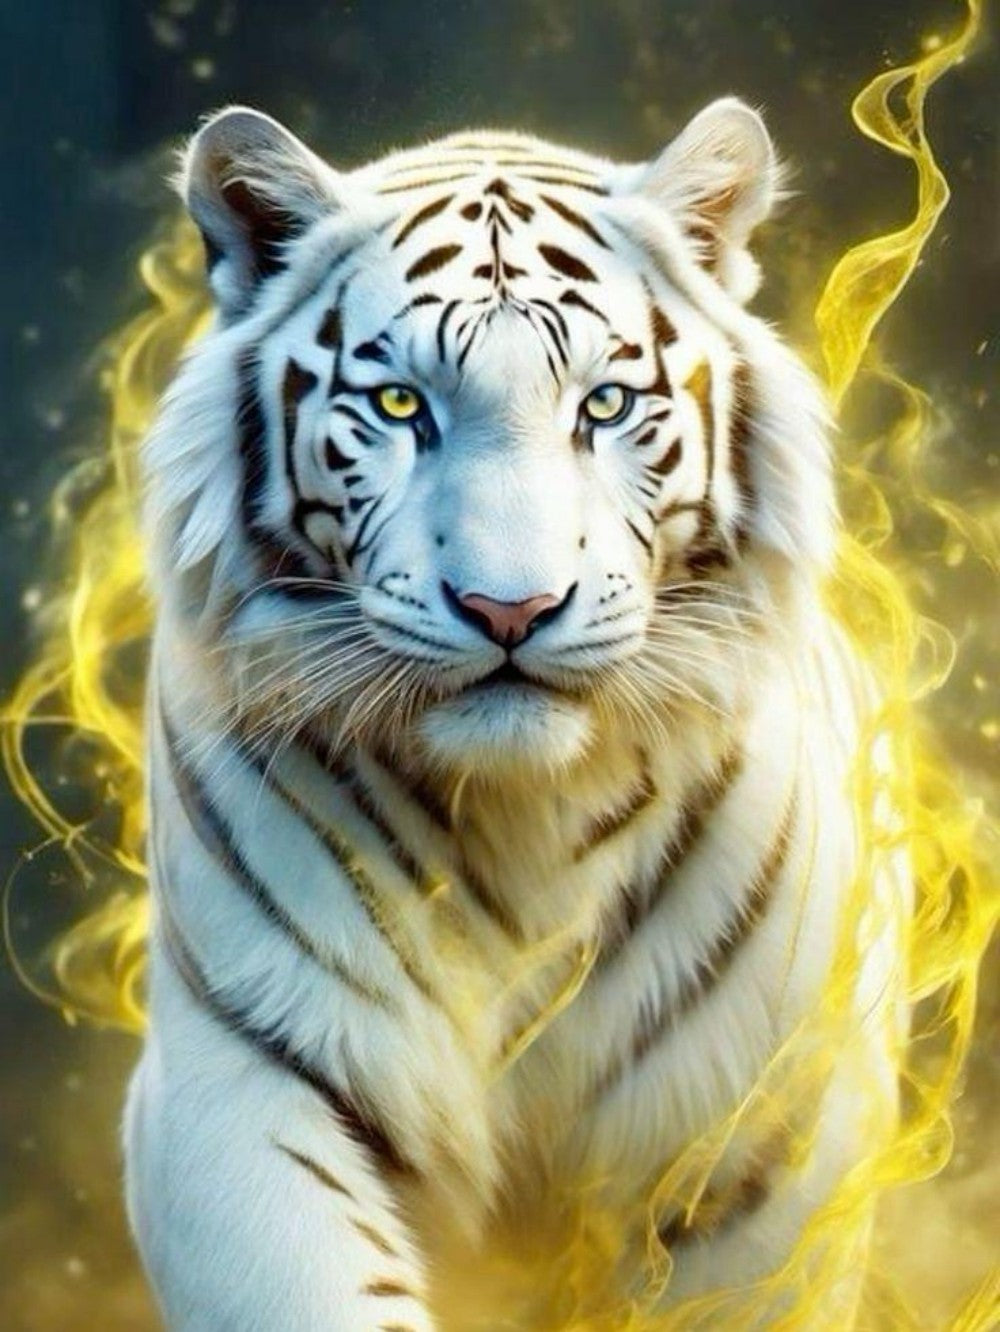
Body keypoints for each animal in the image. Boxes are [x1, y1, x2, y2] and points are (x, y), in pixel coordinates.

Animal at [124, 99, 905, 1331]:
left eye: (606, 404)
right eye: (400, 404)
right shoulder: (242, 1075)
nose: (510, 608)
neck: (521, 819)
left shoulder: (764, 1125)